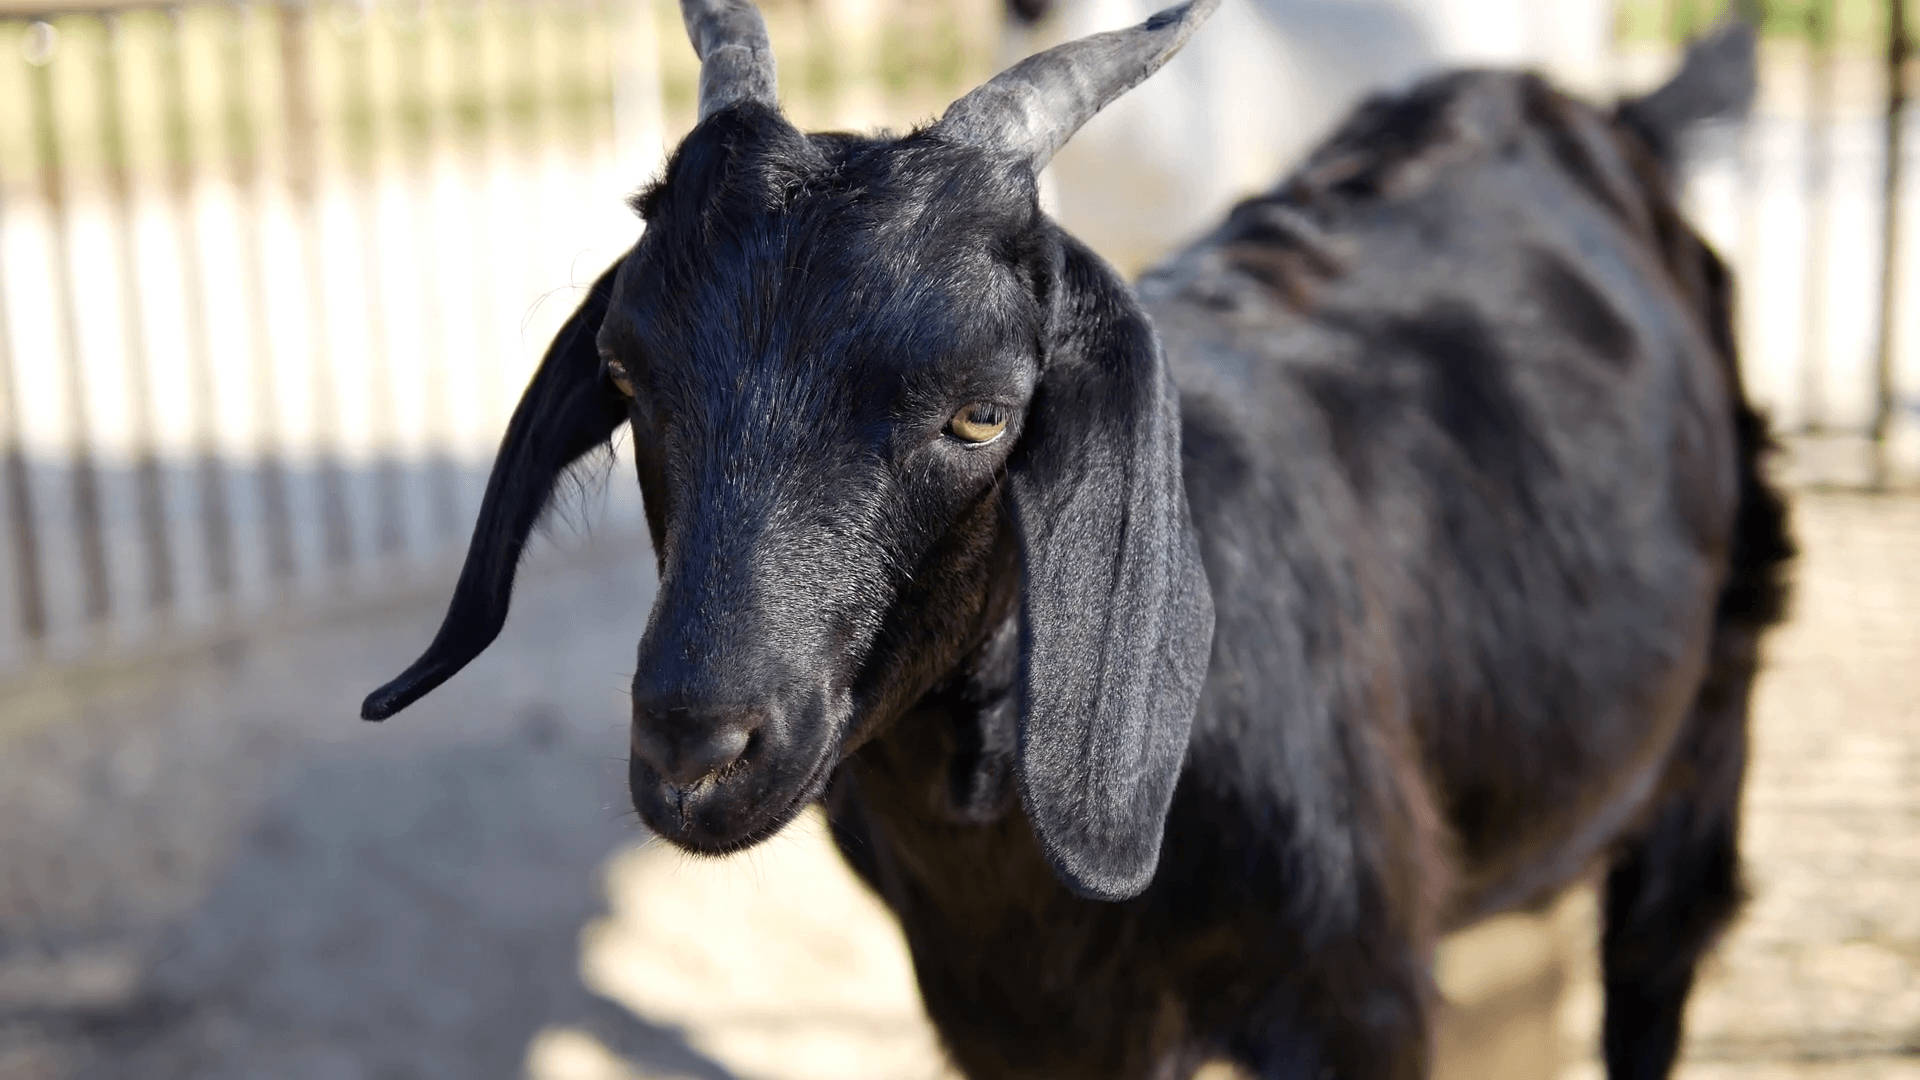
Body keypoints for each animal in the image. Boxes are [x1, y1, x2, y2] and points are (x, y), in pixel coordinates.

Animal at [364, 3, 1792, 1077]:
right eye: (624, 368)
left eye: (983, 411)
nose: (695, 753)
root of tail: (1596, 119)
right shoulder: (1020, 1028)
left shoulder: (1353, 993)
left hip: (1709, 725)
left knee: (1658, 953)